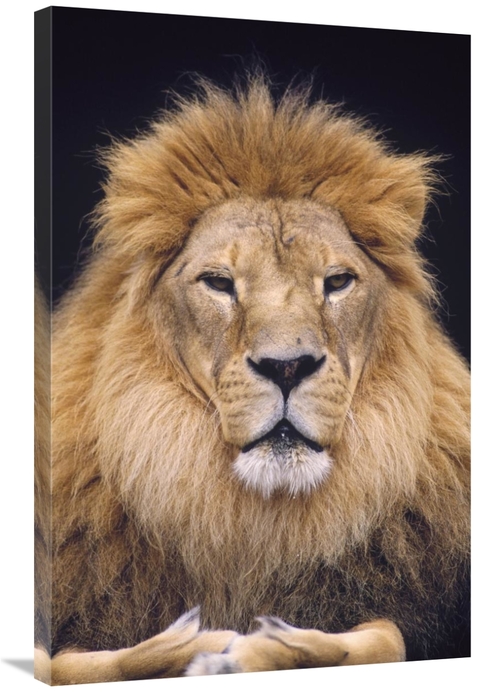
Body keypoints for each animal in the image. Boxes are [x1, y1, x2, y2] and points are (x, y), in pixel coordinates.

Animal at [35, 76, 470, 684]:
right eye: (219, 282)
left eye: (338, 281)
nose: (287, 366)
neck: (251, 522)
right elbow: (69, 664)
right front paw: (191, 645)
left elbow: (387, 638)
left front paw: (274, 644)